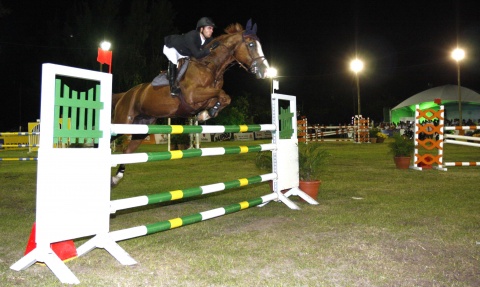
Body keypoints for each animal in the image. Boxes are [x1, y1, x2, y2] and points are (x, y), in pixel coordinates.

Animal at [110, 19, 272, 187]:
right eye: (251, 44)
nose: (265, 71)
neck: (211, 66)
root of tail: (125, 94)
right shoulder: (192, 96)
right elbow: (222, 94)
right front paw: (206, 114)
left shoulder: (203, 99)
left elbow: (223, 98)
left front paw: (207, 113)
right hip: (123, 122)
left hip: (142, 127)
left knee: (127, 151)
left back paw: (116, 178)